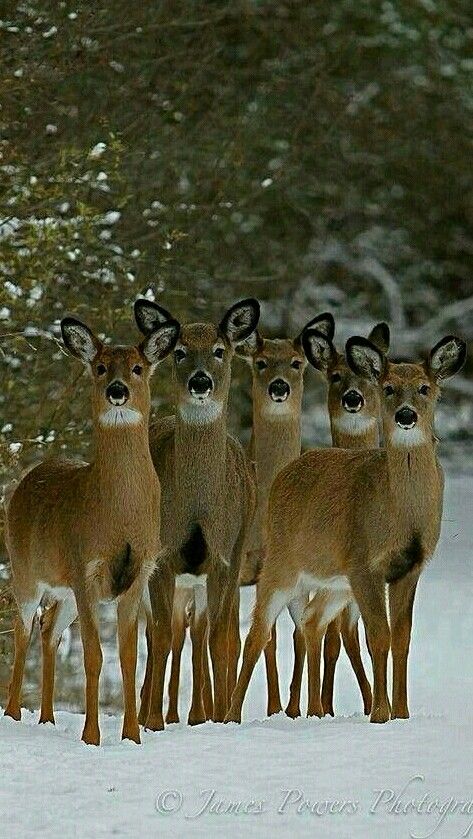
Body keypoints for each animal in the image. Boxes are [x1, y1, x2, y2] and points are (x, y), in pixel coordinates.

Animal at [3, 314, 178, 740]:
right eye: (100, 367)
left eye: (138, 367)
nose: (117, 390)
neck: (117, 515)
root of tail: (27, 480)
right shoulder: (86, 569)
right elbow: (95, 656)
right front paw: (92, 737)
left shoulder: (138, 573)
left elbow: (130, 658)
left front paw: (132, 735)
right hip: (25, 569)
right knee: (22, 628)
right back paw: (14, 714)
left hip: (64, 590)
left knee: (48, 629)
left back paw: (47, 717)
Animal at [133, 296, 258, 728]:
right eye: (180, 351)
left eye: (220, 350)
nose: (200, 382)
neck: (199, 507)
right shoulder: (163, 556)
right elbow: (160, 637)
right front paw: (152, 722)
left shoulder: (225, 556)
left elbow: (220, 640)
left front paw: (221, 719)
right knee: (160, 633)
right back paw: (153, 712)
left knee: (200, 633)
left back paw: (198, 713)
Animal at [227, 332, 466, 724]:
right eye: (387, 388)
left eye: (424, 388)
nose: (406, 415)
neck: (399, 514)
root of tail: (283, 474)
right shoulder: (364, 562)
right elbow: (379, 635)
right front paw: (381, 713)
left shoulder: (410, 568)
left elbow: (402, 638)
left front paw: (402, 713)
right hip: (282, 563)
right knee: (258, 631)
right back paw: (233, 715)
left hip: (335, 582)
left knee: (310, 621)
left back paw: (312, 712)